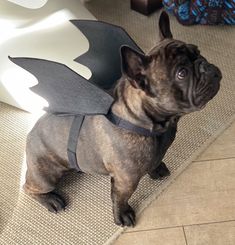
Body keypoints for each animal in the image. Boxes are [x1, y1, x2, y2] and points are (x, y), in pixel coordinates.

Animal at [24, 11, 222, 226]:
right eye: (182, 73)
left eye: (198, 51)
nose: (205, 66)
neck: (152, 123)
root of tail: (29, 135)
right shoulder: (126, 180)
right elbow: (120, 197)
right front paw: (122, 215)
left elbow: (155, 161)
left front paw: (157, 169)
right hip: (46, 176)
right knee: (30, 188)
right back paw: (51, 200)